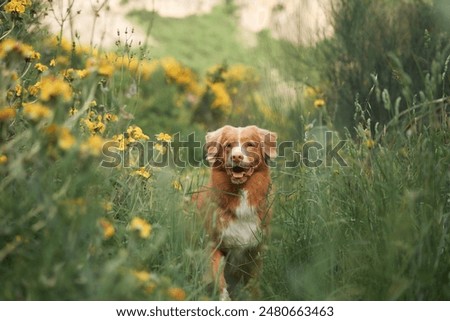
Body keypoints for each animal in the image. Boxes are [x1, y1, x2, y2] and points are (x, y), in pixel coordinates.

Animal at [199, 124, 276, 298]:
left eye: (250, 145)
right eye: (228, 145)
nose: (236, 157)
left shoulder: (257, 249)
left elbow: (254, 284)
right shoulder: (214, 245)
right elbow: (219, 279)